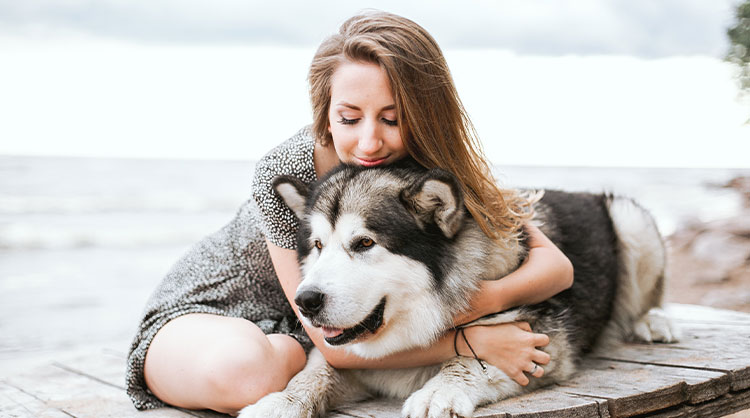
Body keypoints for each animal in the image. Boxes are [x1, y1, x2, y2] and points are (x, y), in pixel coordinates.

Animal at [239, 161, 680, 418]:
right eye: (317, 245)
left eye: (364, 243)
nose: (305, 302)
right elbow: (316, 371)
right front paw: (282, 401)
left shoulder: (544, 345)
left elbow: (470, 357)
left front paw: (442, 390)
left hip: (631, 221)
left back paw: (652, 321)